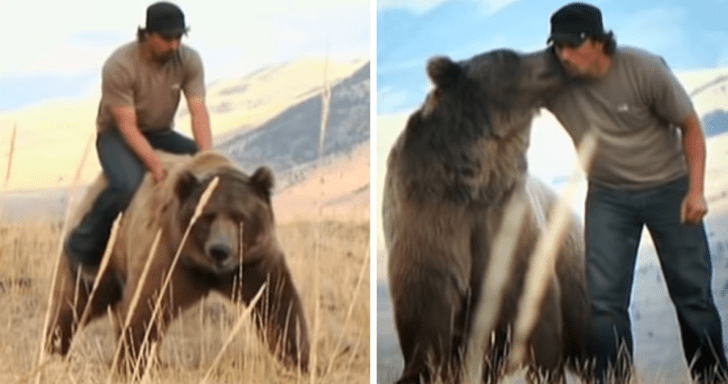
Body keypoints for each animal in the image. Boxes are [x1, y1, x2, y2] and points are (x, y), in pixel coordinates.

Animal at [45, 152, 308, 374]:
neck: (206, 270)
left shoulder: (254, 262)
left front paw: (299, 361)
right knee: (72, 303)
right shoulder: (168, 257)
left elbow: (278, 307)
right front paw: (130, 364)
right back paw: (54, 349)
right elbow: (144, 310)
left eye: (240, 217)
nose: (220, 250)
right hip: (103, 256)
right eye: (207, 216)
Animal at [382, 49, 592, 382]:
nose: (552, 53)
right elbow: (427, 305)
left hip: (575, 273)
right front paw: (418, 369)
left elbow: (536, 313)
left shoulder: (512, 224)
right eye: (509, 56)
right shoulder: (428, 215)